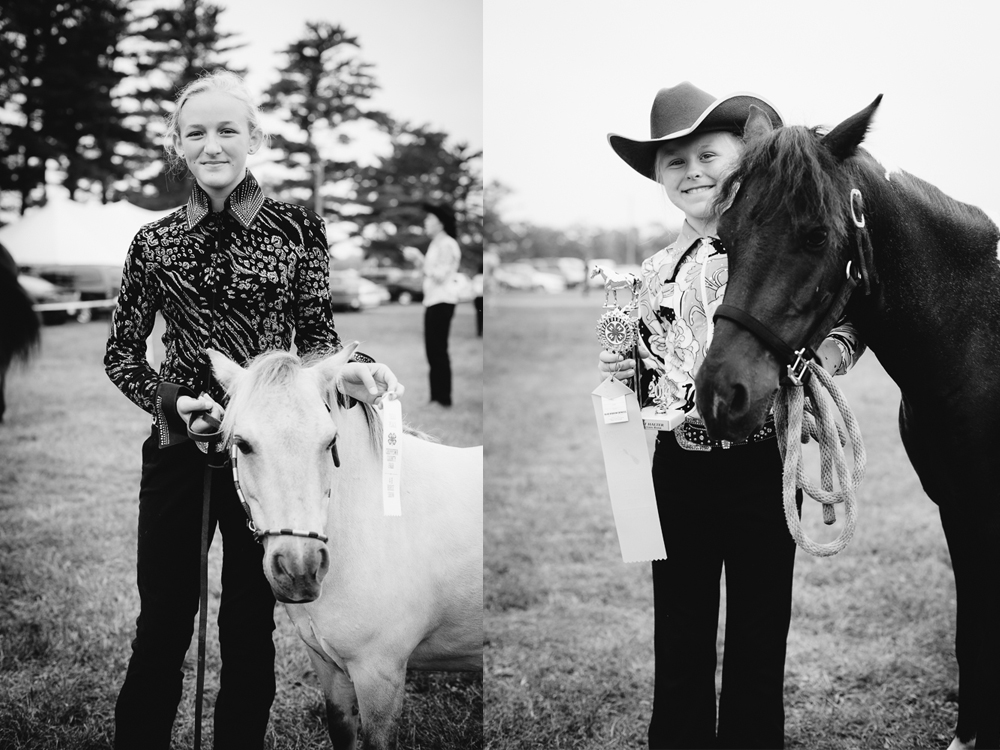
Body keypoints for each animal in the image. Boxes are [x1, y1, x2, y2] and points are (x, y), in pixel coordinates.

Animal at [696, 100, 1000, 750]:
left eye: (815, 235)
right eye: (726, 239)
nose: (720, 394)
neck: (981, 340)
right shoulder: (959, 508)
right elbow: (971, 632)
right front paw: (968, 733)